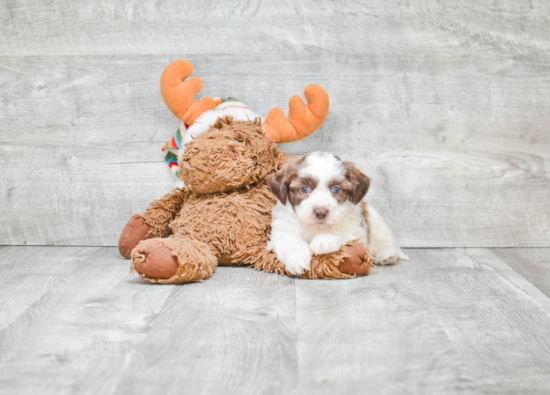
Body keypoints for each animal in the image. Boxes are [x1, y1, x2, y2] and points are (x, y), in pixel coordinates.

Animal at [268, 152, 410, 276]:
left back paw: (386, 254)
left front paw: (324, 240)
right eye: (304, 189)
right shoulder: (282, 229)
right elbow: (289, 240)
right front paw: (297, 258)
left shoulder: (356, 228)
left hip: (375, 219)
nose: (320, 212)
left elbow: (341, 230)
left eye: (336, 190)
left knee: (385, 240)